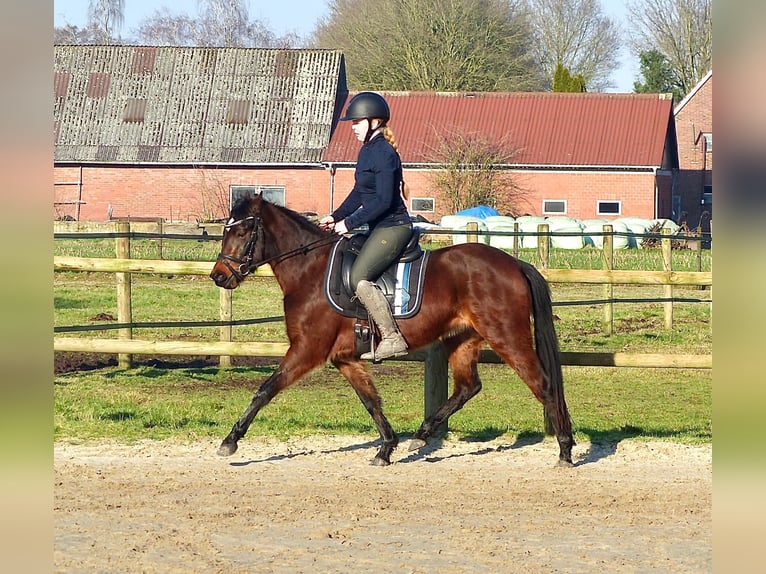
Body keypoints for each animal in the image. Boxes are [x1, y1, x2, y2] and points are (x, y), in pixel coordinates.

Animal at [210, 197, 576, 468]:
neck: (308, 271)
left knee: (543, 384)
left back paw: (564, 449)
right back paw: (421, 434)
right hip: (462, 338)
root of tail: (514, 264)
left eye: (243, 232)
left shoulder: (307, 349)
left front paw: (230, 441)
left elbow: (265, 389)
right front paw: (386, 448)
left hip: (507, 336)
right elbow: (370, 401)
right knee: (467, 387)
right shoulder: (344, 357)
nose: (219, 276)